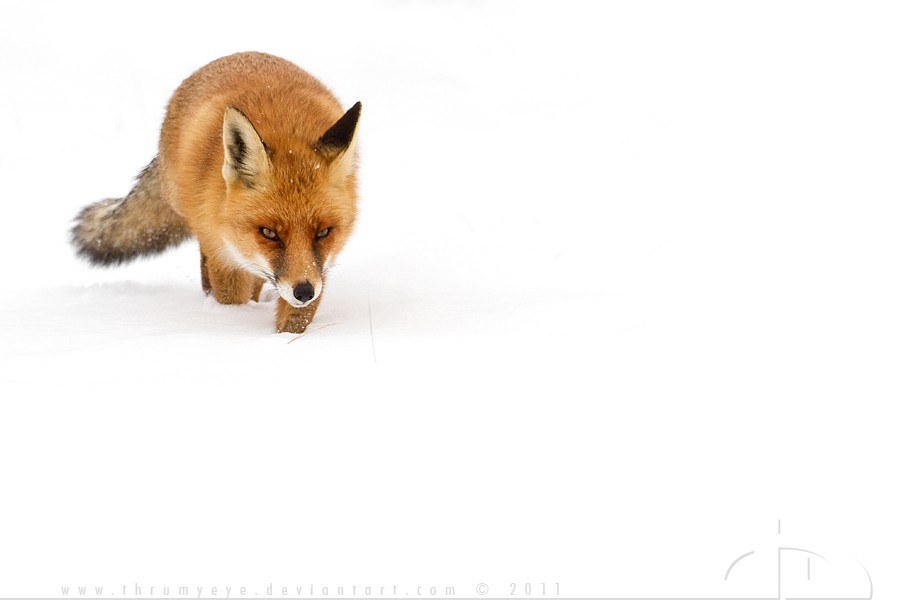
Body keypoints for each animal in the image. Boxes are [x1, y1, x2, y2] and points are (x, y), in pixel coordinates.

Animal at [71, 52, 361, 334]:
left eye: (323, 232)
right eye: (269, 233)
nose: (304, 292)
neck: (285, 127)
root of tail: (240, 54)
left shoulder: (320, 266)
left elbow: (295, 323)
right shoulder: (223, 254)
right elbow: (231, 297)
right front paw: (228, 322)